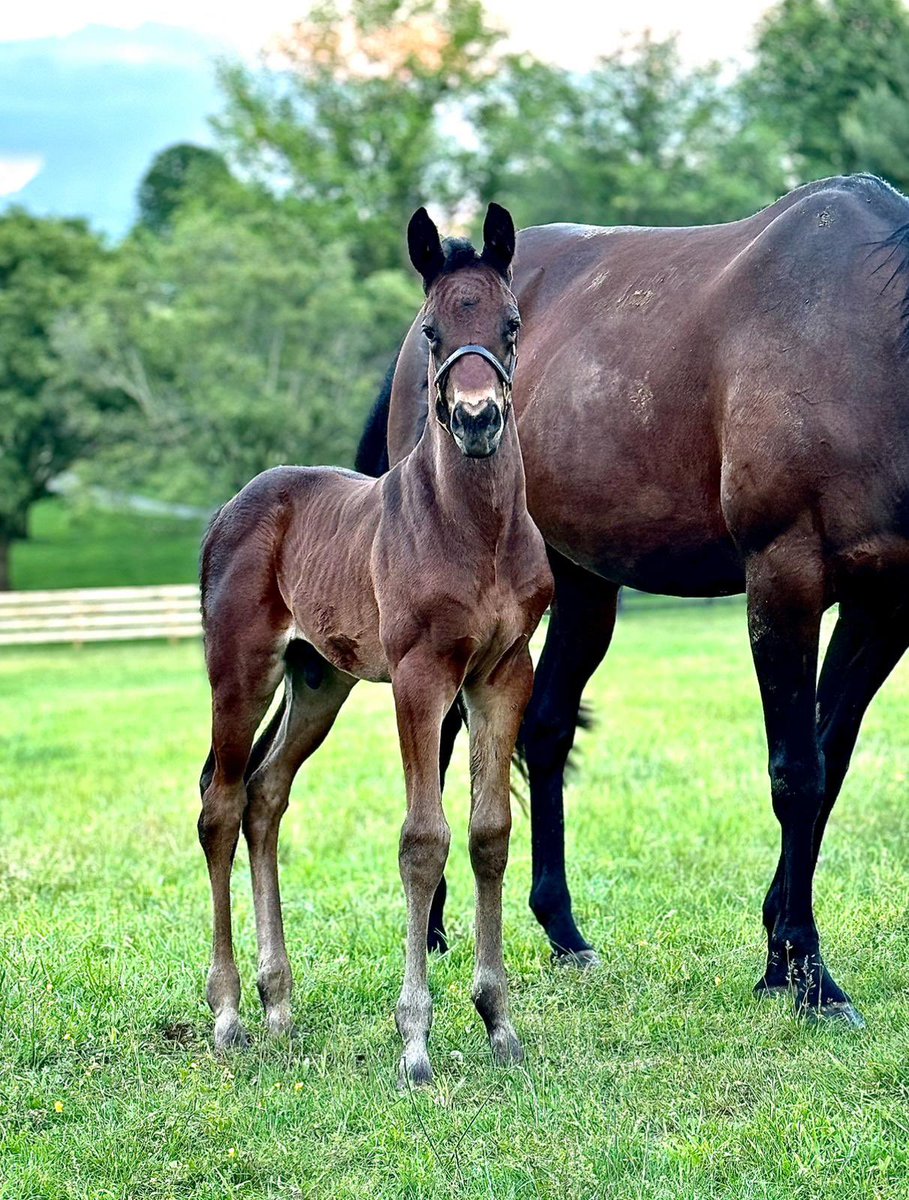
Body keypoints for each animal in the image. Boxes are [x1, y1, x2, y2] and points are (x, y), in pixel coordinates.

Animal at [200, 201, 556, 1084]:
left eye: (510, 324)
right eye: (429, 331)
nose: (476, 420)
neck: (474, 531)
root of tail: (232, 508)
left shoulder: (504, 671)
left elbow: (489, 833)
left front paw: (498, 1021)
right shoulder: (421, 677)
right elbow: (422, 841)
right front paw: (416, 1042)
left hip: (317, 681)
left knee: (264, 796)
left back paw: (279, 1004)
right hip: (239, 672)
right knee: (219, 805)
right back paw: (228, 1013)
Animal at [357, 174, 909, 1027]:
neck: (863, 343)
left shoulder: (884, 603)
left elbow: (829, 762)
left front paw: (777, 952)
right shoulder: (782, 580)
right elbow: (797, 773)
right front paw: (809, 974)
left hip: (583, 585)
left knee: (543, 730)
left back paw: (562, 930)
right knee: (444, 732)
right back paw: (439, 927)